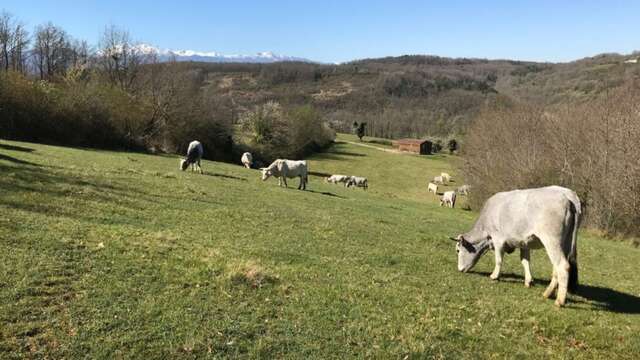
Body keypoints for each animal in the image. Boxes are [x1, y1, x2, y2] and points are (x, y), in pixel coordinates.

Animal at [450, 186, 580, 306]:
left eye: (458, 250)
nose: (459, 269)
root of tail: (568, 193)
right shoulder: (524, 243)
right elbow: (525, 261)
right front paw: (528, 281)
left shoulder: (498, 239)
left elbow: (498, 260)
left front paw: (494, 276)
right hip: (564, 243)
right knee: (556, 268)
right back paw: (548, 293)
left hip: (551, 240)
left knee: (562, 266)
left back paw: (559, 300)